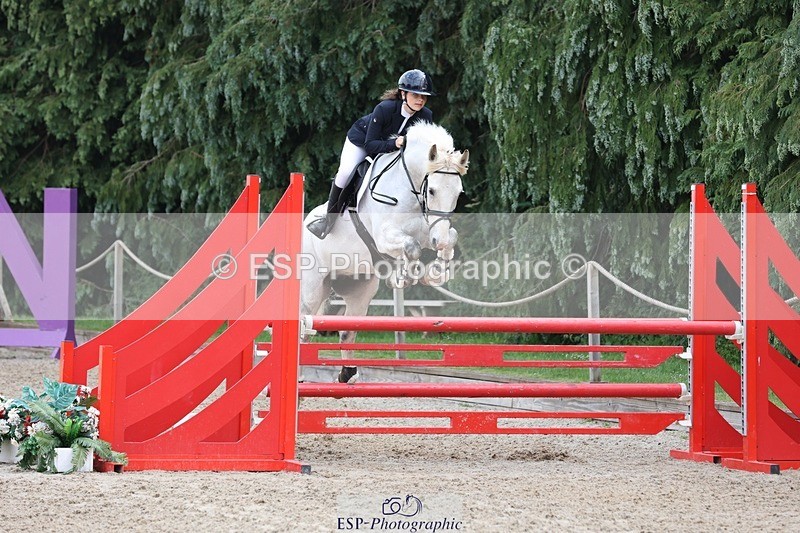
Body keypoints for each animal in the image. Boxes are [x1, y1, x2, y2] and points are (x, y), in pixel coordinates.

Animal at [301, 122, 469, 383]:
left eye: (458, 193)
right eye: (431, 190)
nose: (437, 240)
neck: (409, 189)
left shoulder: (427, 228)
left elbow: (449, 238)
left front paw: (435, 272)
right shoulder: (384, 236)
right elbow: (412, 247)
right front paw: (405, 276)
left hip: (360, 290)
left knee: (347, 332)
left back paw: (348, 374)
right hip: (312, 287)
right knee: (304, 328)